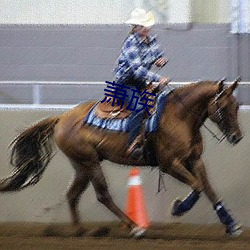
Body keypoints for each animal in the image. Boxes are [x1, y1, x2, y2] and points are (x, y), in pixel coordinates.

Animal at [0, 79, 243, 237]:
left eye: (236, 105)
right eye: (223, 107)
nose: (237, 137)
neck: (179, 117)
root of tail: (61, 117)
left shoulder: (194, 160)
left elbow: (208, 189)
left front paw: (232, 225)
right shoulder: (170, 164)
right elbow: (197, 186)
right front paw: (178, 208)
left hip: (82, 165)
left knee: (72, 195)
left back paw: (82, 231)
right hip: (90, 163)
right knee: (102, 195)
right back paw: (134, 226)